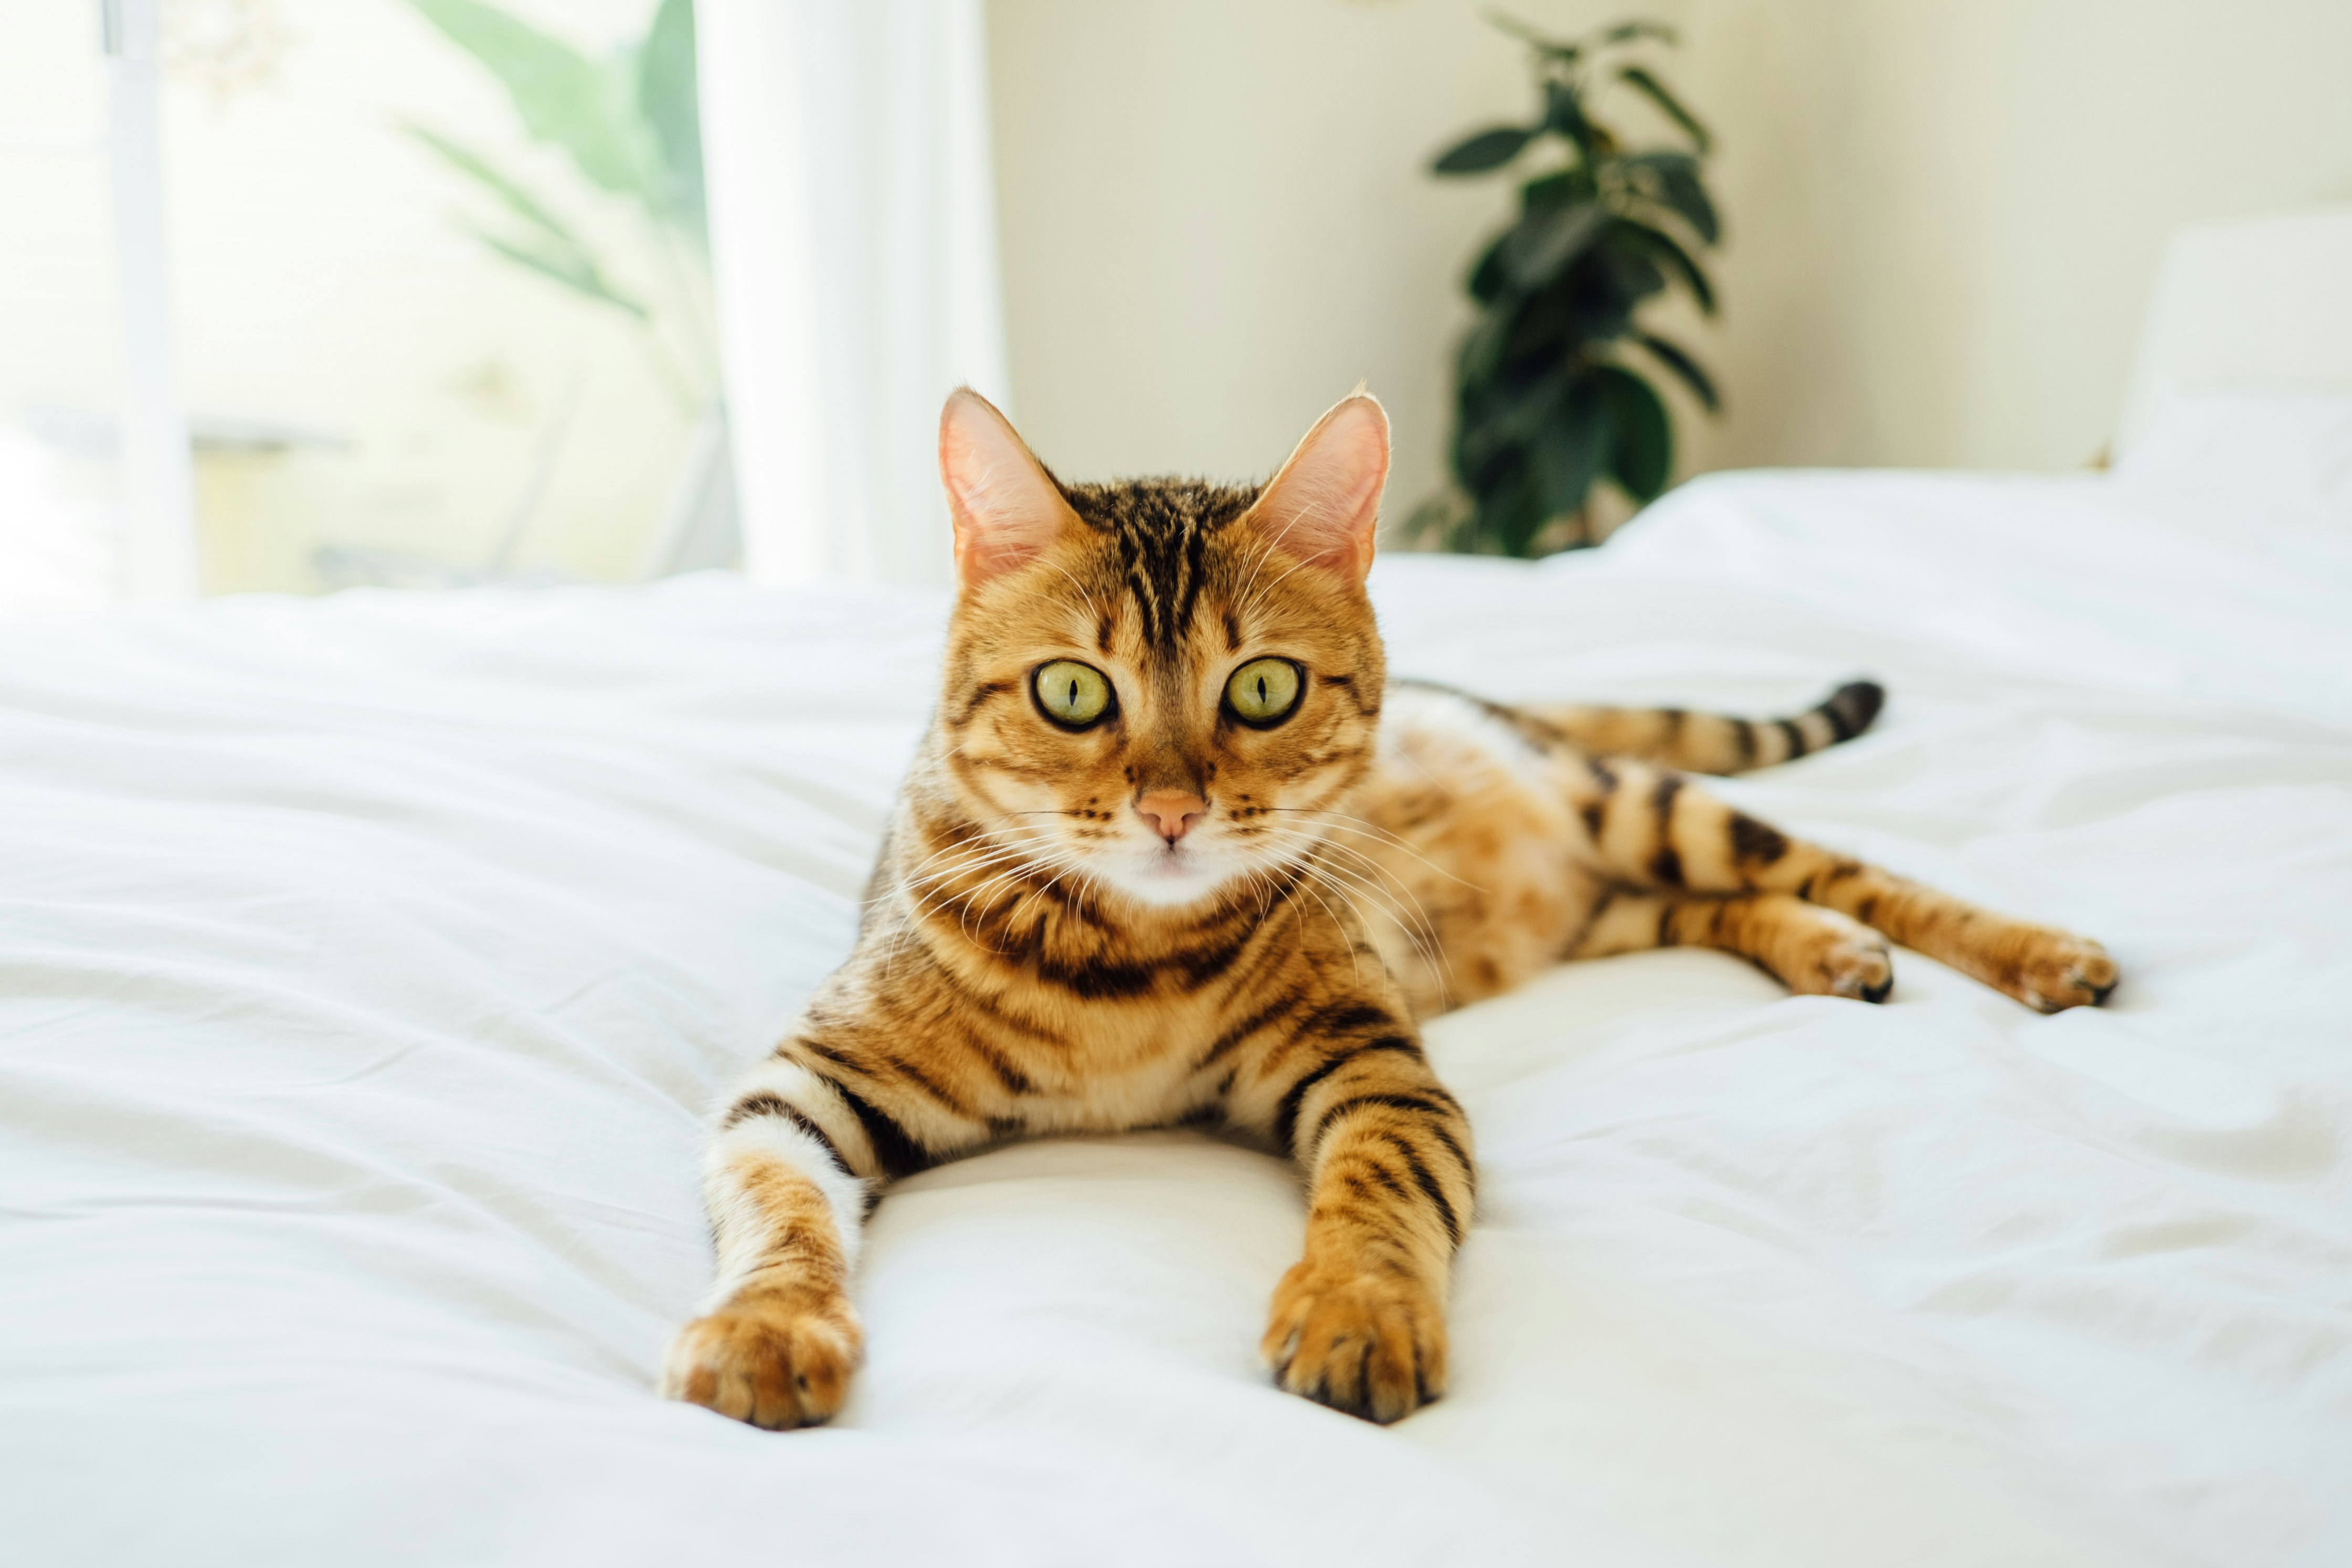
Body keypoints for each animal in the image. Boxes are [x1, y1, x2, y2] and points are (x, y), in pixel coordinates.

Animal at [658, 390, 2116, 1438]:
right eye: (1074, 693)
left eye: (1264, 689)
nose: (1173, 809)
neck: (1129, 969)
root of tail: (1498, 698)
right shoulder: (804, 1083)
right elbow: (778, 1206)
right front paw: (766, 1328)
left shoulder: (1375, 1066)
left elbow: (1377, 1193)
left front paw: (1357, 1312)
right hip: (1582, 913)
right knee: (1719, 903)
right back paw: (1826, 952)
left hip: (1632, 804)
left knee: (1826, 867)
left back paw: (2031, 949)